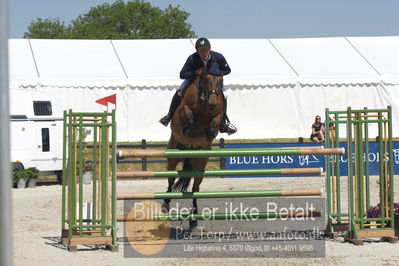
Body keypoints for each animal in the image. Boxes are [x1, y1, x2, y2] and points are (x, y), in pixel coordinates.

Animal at [162, 66, 225, 229]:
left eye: (221, 80)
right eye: (207, 79)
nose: (213, 104)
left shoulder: (218, 114)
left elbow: (216, 120)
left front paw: (210, 132)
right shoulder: (184, 108)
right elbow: (188, 114)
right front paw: (190, 129)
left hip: (200, 163)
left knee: (196, 188)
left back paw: (194, 218)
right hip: (173, 156)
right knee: (170, 180)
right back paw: (166, 204)